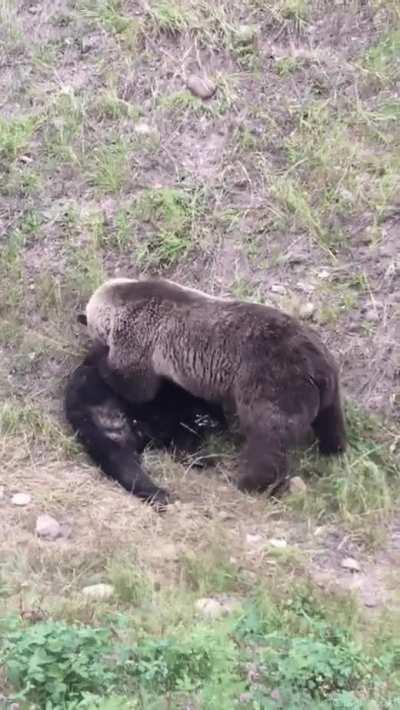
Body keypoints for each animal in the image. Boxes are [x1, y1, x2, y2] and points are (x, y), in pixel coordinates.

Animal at [81, 277, 346, 494]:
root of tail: (317, 368)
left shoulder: (140, 338)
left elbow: (135, 387)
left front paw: (99, 357)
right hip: (326, 387)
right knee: (330, 420)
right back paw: (333, 449)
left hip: (272, 383)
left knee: (268, 437)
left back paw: (250, 483)